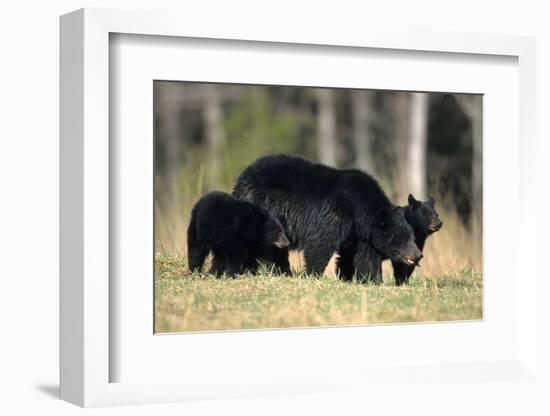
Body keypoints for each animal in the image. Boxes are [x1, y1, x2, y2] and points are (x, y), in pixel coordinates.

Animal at [233, 154, 422, 282]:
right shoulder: (335, 215)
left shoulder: (360, 234)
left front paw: (371, 279)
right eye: (403, 238)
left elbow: (363, 256)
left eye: (412, 236)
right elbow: (320, 244)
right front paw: (313, 275)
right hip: (264, 208)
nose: (418, 254)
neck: (359, 210)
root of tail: (242, 177)